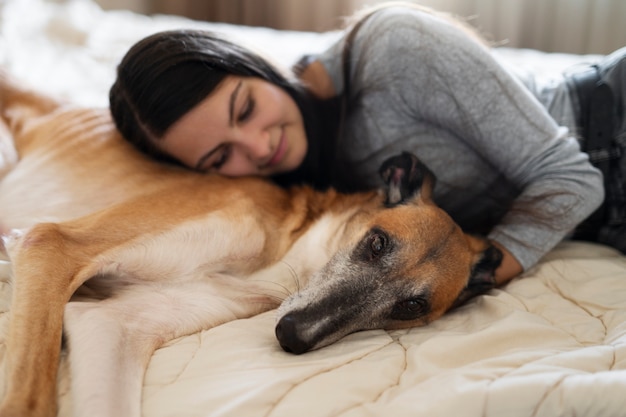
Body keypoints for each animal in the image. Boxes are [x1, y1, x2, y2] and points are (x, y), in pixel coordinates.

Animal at [0, 72, 498, 416]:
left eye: (411, 308)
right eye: (376, 243)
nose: (292, 336)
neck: (278, 255)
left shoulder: (109, 325)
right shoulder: (53, 246)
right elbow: (29, 398)